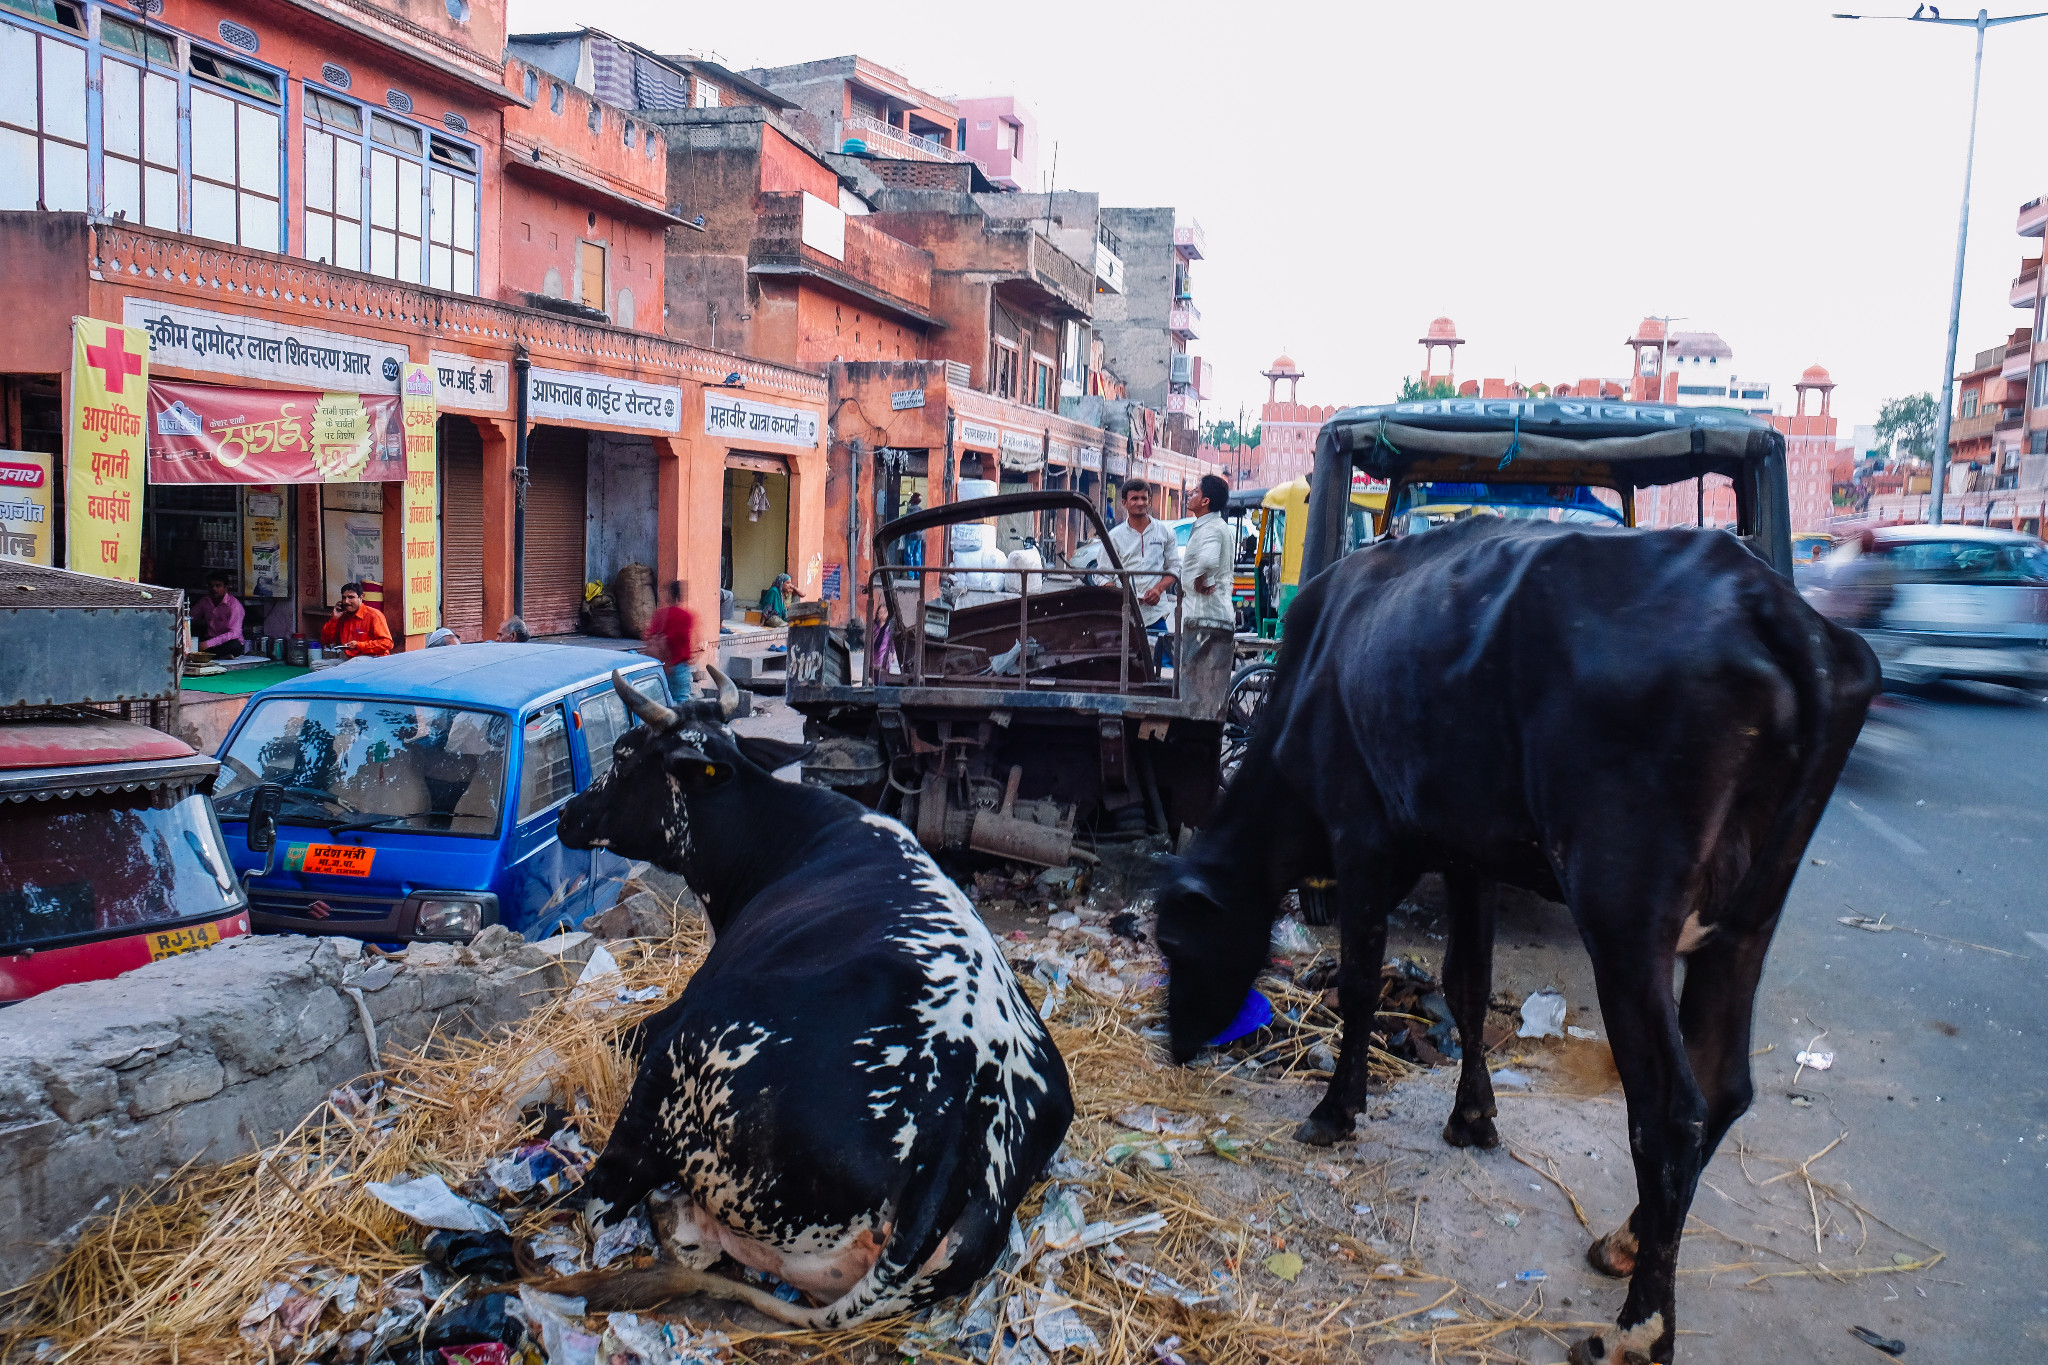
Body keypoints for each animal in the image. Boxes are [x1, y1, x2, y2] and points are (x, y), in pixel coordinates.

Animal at [552, 679, 1081, 1326]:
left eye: (625, 753)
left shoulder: (666, 1024)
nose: (566, 816)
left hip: (680, 1068)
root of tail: (961, 1121)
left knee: (608, 1200)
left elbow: (612, 1039)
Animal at [1155, 515, 1875, 1365]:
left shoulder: (1363, 836)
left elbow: (1360, 983)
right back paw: (1627, 1238)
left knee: (1672, 1109)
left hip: (1623, 917)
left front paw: (1336, 1109)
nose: (1174, 1045)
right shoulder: (1469, 853)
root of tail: (1776, 607)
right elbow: (1466, 986)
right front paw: (1472, 1115)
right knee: (1725, 1083)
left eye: (1173, 942)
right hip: (1746, 921)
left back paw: (1638, 1325)